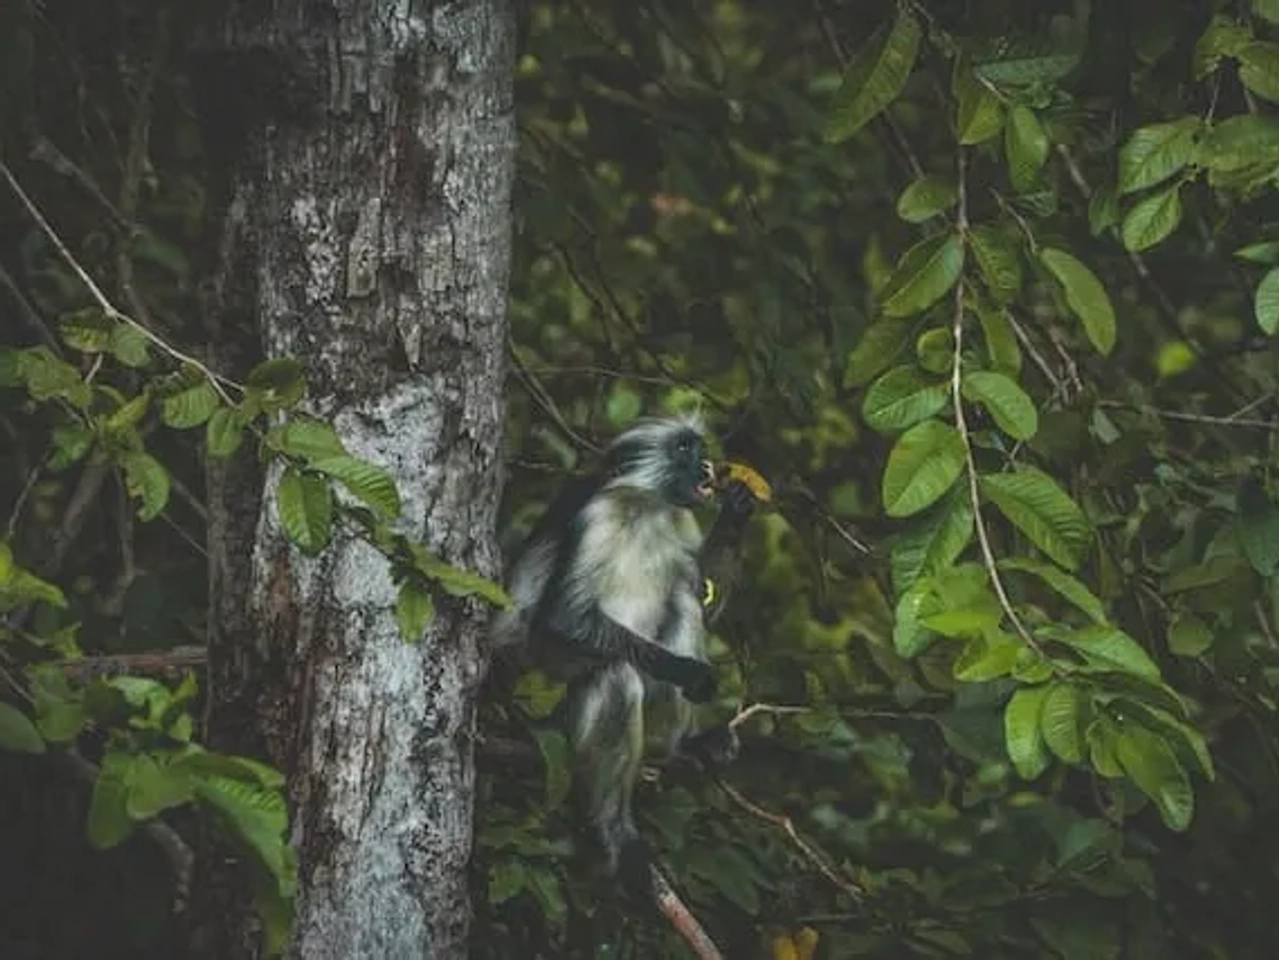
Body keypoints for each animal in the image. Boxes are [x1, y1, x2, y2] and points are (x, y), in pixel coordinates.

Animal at [493, 414, 757, 899]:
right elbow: (564, 617)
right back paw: (614, 830)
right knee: (616, 673)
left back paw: (683, 745)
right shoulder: (599, 515)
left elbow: (702, 597)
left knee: (681, 596)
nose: (709, 465)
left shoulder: (681, 517)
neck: (648, 507)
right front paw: (688, 672)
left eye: (699, 447)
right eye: (685, 449)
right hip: (545, 681)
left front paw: (737, 510)